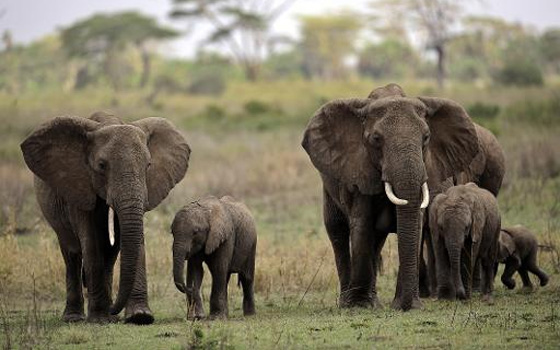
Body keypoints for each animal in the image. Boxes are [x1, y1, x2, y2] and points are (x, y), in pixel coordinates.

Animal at [20, 110, 190, 324]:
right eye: (101, 165)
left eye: (148, 165)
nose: (114, 311)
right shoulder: (79, 184)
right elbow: (90, 243)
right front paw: (100, 318)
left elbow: (132, 239)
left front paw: (140, 317)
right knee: (72, 253)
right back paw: (75, 317)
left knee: (109, 253)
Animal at [302, 83, 482, 310]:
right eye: (376, 139)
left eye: (426, 138)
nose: (405, 306)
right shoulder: (358, 169)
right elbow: (362, 224)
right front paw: (359, 306)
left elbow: (415, 224)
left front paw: (406, 305)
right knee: (337, 229)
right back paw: (348, 302)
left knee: (376, 239)